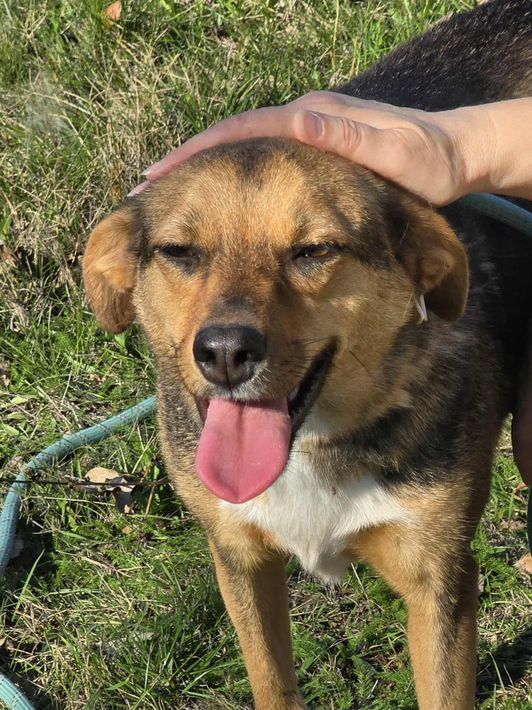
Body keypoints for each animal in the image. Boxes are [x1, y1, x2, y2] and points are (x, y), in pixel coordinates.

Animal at [83, 1, 532, 708]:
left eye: (314, 250)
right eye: (179, 252)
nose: (225, 353)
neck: (313, 446)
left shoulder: (440, 584)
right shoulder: (240, 559)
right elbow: (272, 680)